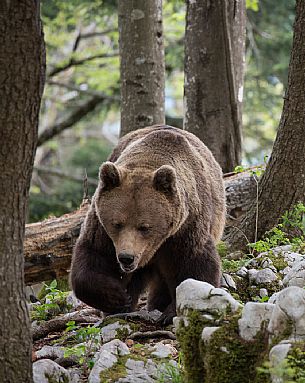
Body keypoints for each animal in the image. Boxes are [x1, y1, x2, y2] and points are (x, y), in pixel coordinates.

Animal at [70, 125, 224, 324]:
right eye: (117, 223)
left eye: (144, 227)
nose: (126, 258)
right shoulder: (102, 227)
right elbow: (94, 257)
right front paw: (118, 297)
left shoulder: (185, 227)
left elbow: (195, 264)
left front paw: (172, 312)